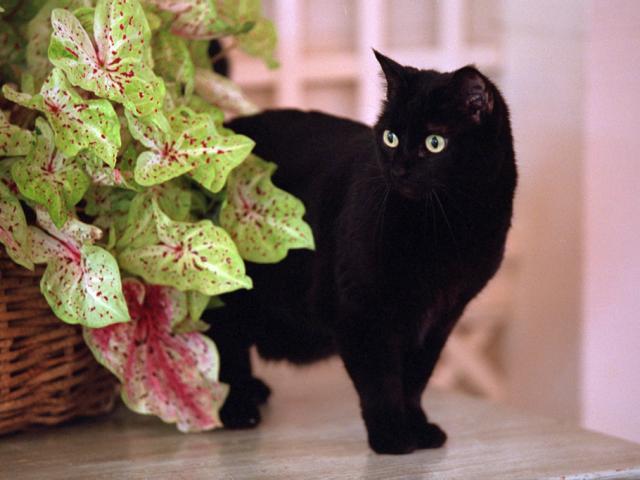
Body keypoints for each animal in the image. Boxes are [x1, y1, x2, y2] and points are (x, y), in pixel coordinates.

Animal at [208, 52, 516, 454]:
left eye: (435, 142)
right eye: (390, 137)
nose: (400, 168)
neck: (444, 226)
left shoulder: (441, 316)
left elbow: (415, 379)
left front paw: (419, 428)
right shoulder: (362, 311)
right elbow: (380, 381)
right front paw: (392, 436)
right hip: (224, 289)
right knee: (222, 347)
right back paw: (237, 409)